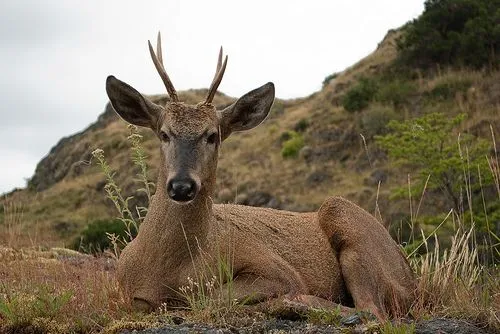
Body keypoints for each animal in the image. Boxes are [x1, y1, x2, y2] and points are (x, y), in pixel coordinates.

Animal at [103, 32, 416, 320]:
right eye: (164, 134)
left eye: (212, 136)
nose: (182, 186)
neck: (169, 268)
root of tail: (410, 276)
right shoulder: (123, 293)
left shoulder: (276, 269)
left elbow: (209, 298)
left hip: (344, 217)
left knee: (372, 310)